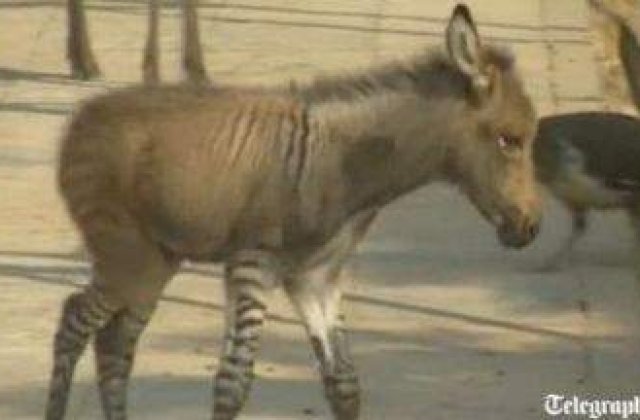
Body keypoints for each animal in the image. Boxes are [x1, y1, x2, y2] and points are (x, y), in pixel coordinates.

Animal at [45, 4, 540, 420]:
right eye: (509, 140)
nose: (531, 228)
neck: (341, 165)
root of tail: (83, 117)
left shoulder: (314, 279)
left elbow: (344, 385)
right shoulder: (252, 264)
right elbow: (233, 384)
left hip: (156, 262)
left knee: (114, 343)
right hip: (128, 256)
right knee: (73, 322)